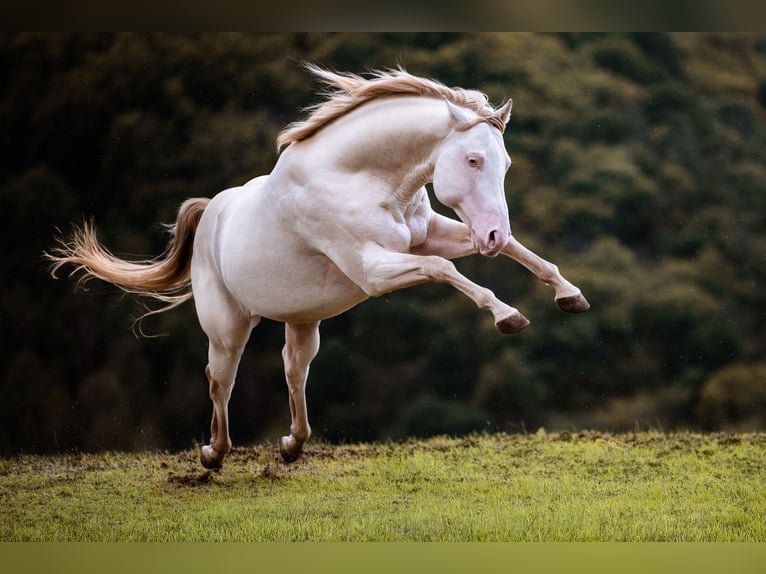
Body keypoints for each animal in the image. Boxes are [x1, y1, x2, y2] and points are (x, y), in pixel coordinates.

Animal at [49, 65, 589, 469]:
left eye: (505, 164)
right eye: (474, 160)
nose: (490, 234)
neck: (358, 176)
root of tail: (210, 216)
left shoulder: (425, 235)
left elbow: (520, 253)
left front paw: (570, 295)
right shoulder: (373, 270)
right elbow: (444, 269)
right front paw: (507, 315)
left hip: (303, 321)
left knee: (294, 369)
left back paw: (292, 445)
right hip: (228, 328)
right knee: (219, 379)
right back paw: (214, 454)